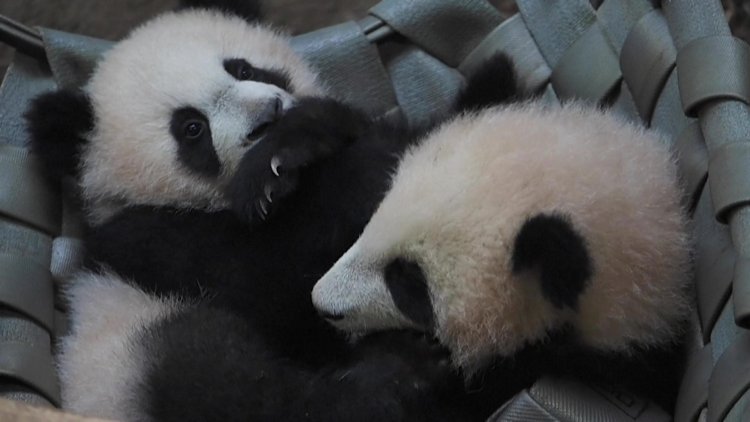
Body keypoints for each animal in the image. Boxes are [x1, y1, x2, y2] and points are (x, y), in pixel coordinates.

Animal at [25, 0, 519, 420]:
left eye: (242, 67)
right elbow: (273, 276)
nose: (267, 117)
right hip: (133, 351)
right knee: (234, 387)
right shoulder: (146, 241)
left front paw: (296, 141)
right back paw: (403, 370)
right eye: (191, 129)